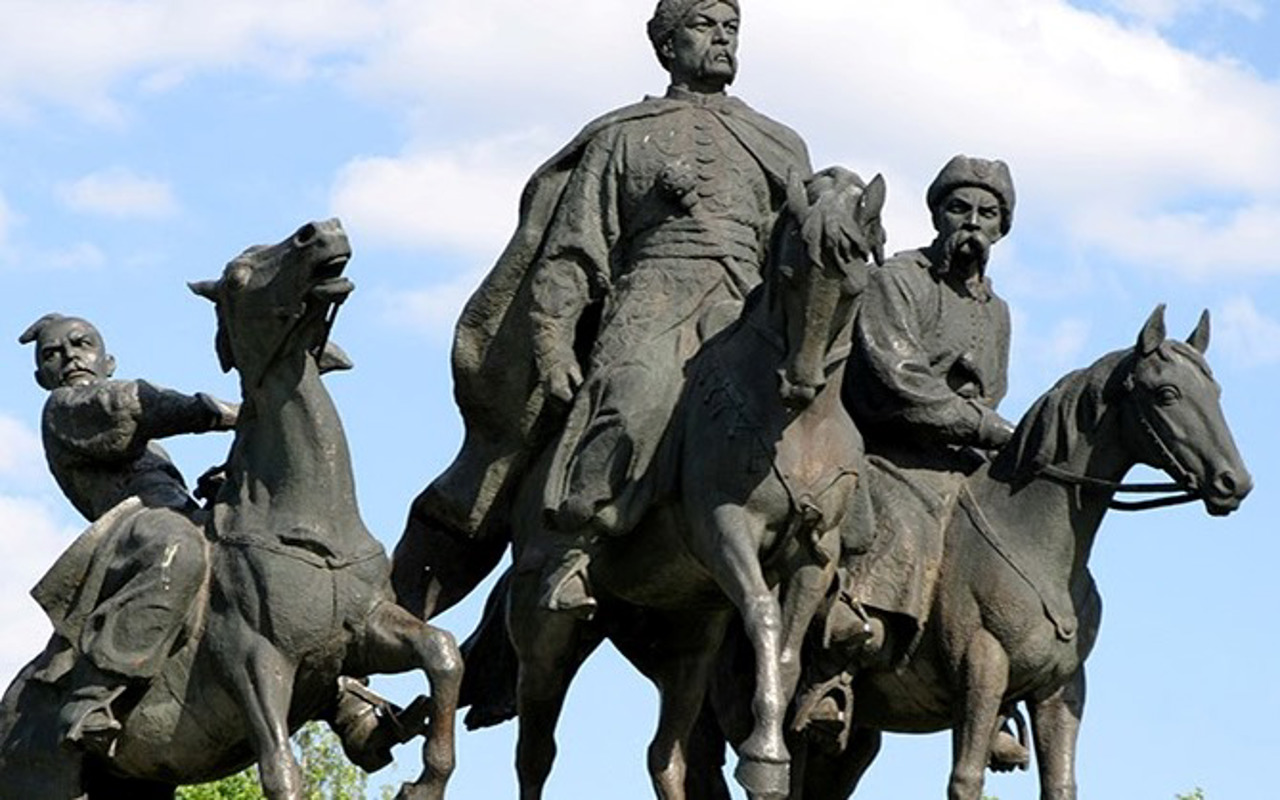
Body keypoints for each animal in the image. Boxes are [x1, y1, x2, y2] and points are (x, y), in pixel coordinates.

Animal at [496, 168, 880, 798]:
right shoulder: (725, 529)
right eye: (791, 277)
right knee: (534, 752)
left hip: (687, 637)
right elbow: (763, 615)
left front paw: (770, 755)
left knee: (665, 754)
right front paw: (764, 756)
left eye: (852, 286)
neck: (798, 424)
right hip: (545, 632)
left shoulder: (814, 555)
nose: (799, 382)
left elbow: (787, 655)